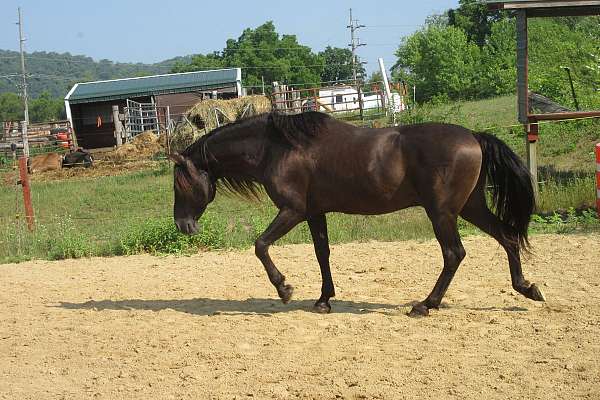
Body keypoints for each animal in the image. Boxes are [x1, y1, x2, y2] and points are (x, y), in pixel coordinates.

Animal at [168, 111, 544, 316]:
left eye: (180, 183)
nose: (183, 226)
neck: (278, 148)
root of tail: (473, 137)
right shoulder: (314, 213)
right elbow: (322, 254)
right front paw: (323, 300)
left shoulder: (292, 210)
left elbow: (260, 246)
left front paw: (284, 289)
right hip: (470, 207)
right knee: (508, 237)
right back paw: (527, 288)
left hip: (443, 213)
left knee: (454, 253)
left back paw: (425, 304)